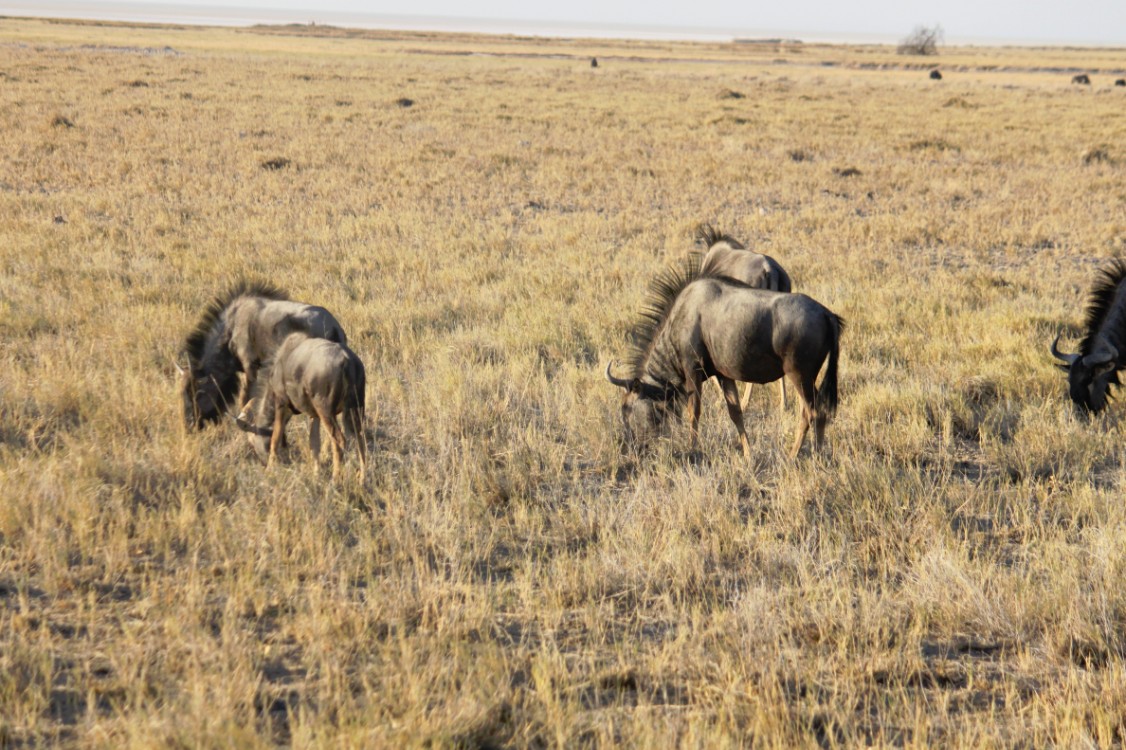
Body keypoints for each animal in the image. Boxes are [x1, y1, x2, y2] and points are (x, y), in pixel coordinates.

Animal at [239, 333, 367, 479]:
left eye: (252, 441)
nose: (263, 463)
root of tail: (346, 360)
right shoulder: (314, 415)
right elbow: (314, 442)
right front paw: (316, 473)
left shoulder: (281, 405)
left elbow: (275, 438)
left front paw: (270, 469)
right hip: (356, 409)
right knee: (360, 438)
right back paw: (362, 478)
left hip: (326, 412)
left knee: (339, 440)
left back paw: (335, 478)